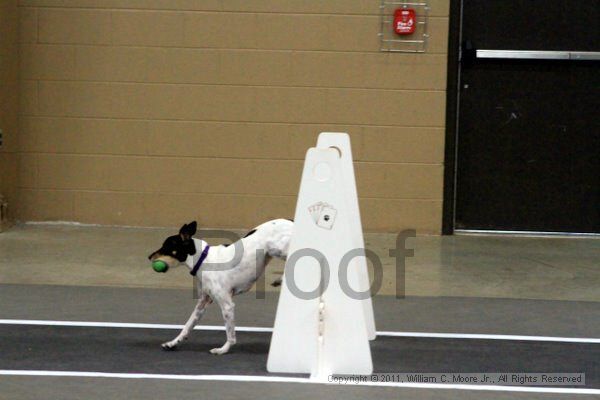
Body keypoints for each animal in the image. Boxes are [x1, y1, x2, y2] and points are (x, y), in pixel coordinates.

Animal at [148, 219, 292, 354]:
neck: (203, 259)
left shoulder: (227, 306)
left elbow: (230, 335)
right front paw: (173, 343)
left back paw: (280, 279)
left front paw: (223, 349)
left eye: (165, 247)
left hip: (277, 249)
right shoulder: (202, 303)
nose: (149, 257)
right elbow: (187, 326)